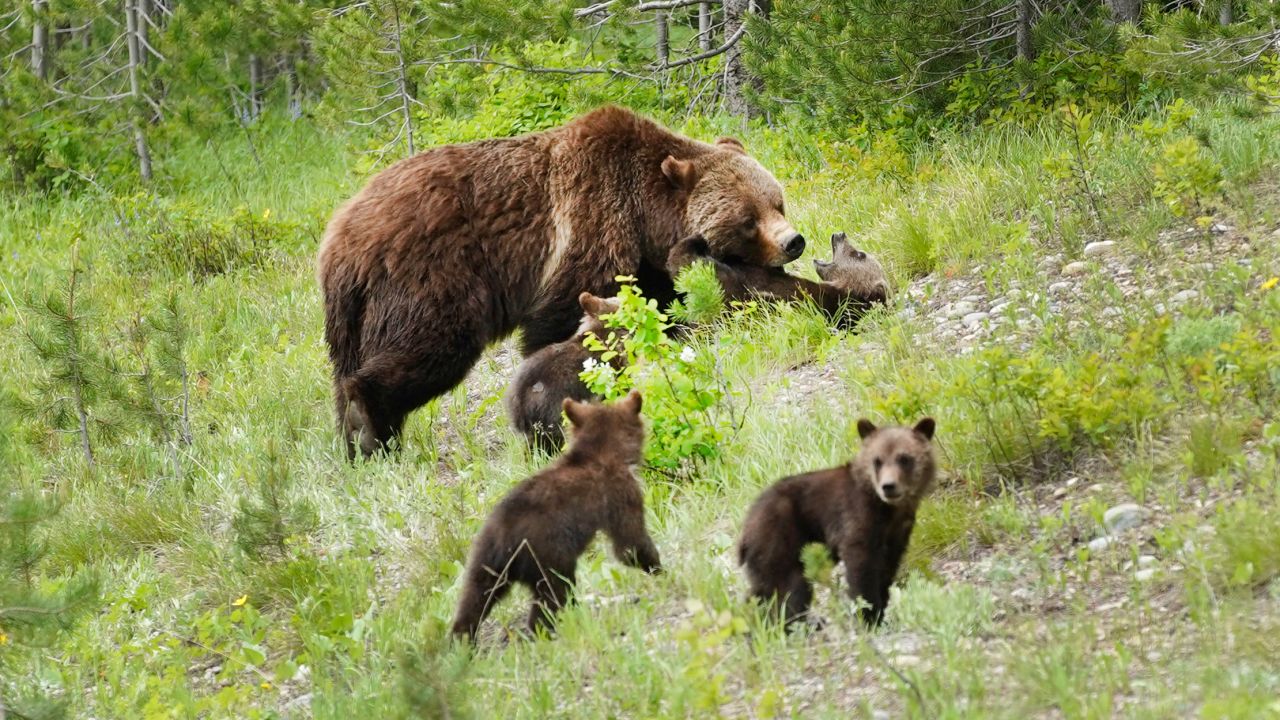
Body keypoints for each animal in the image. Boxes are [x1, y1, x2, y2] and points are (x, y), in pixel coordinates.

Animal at [450, 389, 660, 635]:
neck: (601, 453)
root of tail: (504, 540)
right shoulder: (620, 493)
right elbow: (630, 543)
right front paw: (659, 569)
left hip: (483, 560)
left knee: (474, 599)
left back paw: (462, 637)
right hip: (547, 556)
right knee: (553, 594)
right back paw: (547, 628)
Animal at [737, 415, 936, 627]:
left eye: (904, 458)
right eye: (877, 460)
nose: (888, 486)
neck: (888, 509)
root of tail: (745, 527)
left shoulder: (898, 531)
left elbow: (888, 567)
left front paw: (881, 611)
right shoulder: (856, 517)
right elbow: (861, 567)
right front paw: (869, 615)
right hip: (778, 540)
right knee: (789, 587)